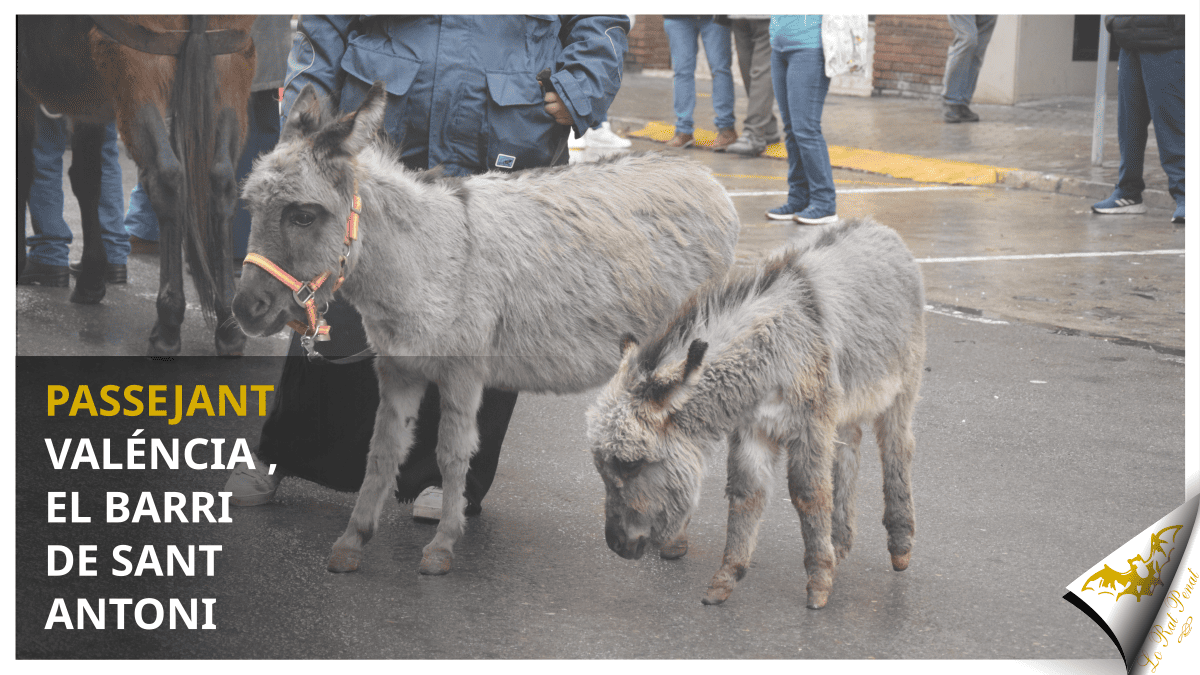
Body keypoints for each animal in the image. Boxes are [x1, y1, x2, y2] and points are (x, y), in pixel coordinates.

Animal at [590, 218, 926, 607]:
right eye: (602, 466)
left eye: (630, 464)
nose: (615, 544)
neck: (774, 352)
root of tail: (878, 226)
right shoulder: (754, 429)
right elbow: (746, 492)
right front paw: (727, 577)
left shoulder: (809, 426)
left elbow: (809, 493)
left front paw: (818, 581)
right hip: (847, 405)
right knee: (847, 453)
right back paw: (839, 543)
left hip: (901, 388)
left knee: (897, 449)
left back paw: (899, 544)